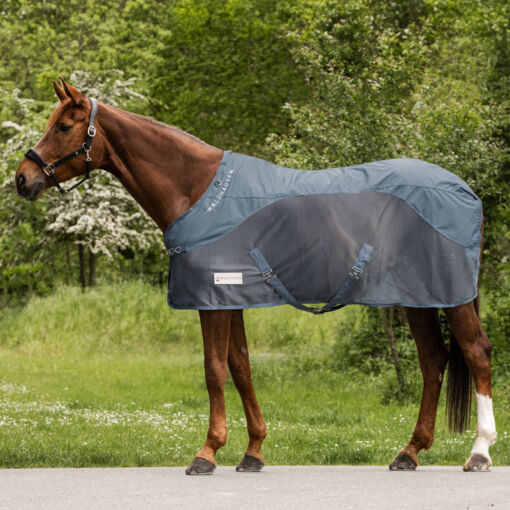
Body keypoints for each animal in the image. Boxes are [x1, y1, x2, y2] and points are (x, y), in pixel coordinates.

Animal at [13, 78, 496, 474]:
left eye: (63, 127)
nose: (23, 178)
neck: (197, 190)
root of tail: (463, 189)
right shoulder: (231, 300)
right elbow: (241, 368)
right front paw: (253, 452)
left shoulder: (211, 301)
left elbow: (213, 370)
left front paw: (207, 453)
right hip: (419, 298)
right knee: (433, 360)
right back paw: (409, 452)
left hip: (450, 298)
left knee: (476, 353)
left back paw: (479, 453)